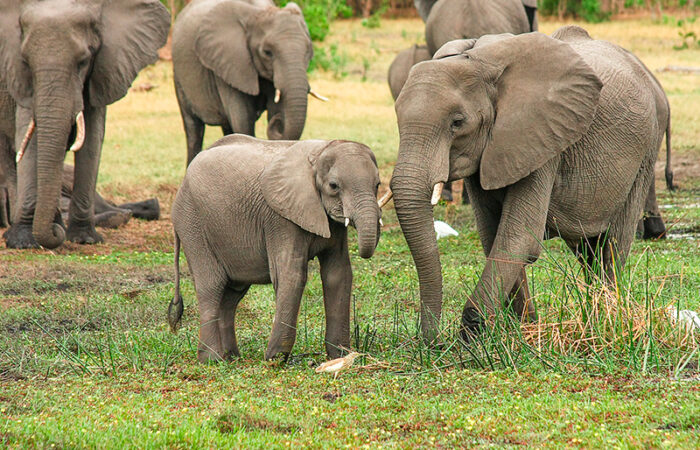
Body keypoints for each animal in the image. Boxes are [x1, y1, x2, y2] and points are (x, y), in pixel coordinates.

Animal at [0, 0, 171, 250]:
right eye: (26, 62)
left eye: (83, 62)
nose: (55, 234)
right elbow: (28, 136)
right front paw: (22, 242)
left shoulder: (102, 70)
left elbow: (92, 138)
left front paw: (84, 238)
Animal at [168, 134, 382, 362]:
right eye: (334, 186)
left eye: (377, 184)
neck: (320, 152)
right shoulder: (280, 218)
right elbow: (292, 275)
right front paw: (275, 359)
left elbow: (338, 274)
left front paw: (340, 356)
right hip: (192, 223)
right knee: (211, 286)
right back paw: (212, 360)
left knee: (232, 294)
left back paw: (232, 357)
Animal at [173, 0, 320, 165]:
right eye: (267, 52)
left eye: (308, 51)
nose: (278, 122)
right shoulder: (230, 63)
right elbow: (243, 119)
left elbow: (273, 109)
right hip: (179, 76)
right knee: (193, 129)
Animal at [388, 26, 672, 340]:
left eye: (457, 122)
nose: (434, 343)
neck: (478, 62)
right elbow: (492, 235)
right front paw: (522, 329)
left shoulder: (544, 138)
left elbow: (519, 236)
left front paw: (473, 336)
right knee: (588, 250)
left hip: (646, 151)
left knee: (613, 243)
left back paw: (606, 319)